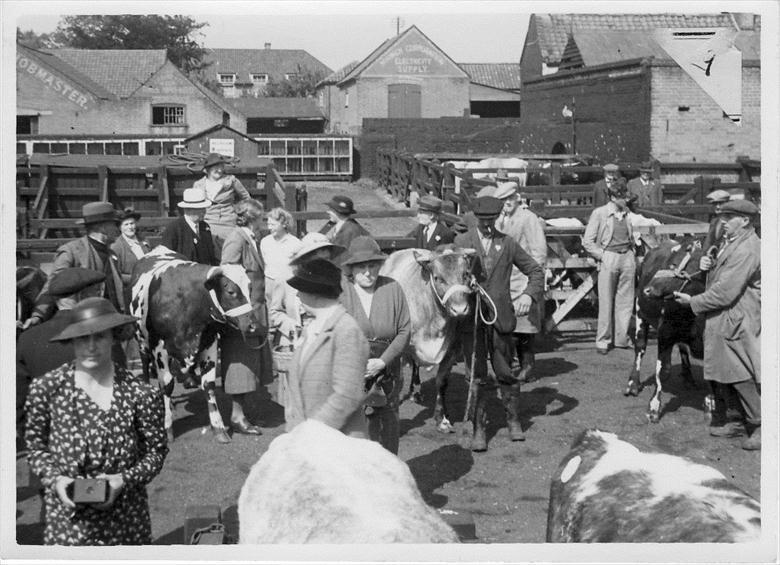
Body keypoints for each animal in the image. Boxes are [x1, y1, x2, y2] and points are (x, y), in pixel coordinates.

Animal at [129, 246, 266, 440]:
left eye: (250, 288)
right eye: (231, 291)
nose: (253, 326)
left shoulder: (209, 341)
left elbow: (208, 384)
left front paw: (218, 428)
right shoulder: (159, 347)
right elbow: (167, 384)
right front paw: (167, 426)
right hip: (141, 340)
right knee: (147, 366)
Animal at [380, 246, 476, 432]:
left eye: (466, 274)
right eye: (438, 278)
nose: (460, 309)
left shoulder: (453, 349)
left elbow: (442, 382)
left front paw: (442, 419)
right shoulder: (400, 347)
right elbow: (399, 380)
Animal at [624, 236, 708, 420]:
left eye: (674, 264)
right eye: (669, 262)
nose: (648, 289)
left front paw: (712, 402)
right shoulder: (665, 333)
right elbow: (663, 370)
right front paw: (654, 407)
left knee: (682, 348)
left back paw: (688, 377)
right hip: (640, 312)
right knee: (640, 348)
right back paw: (633, 384)